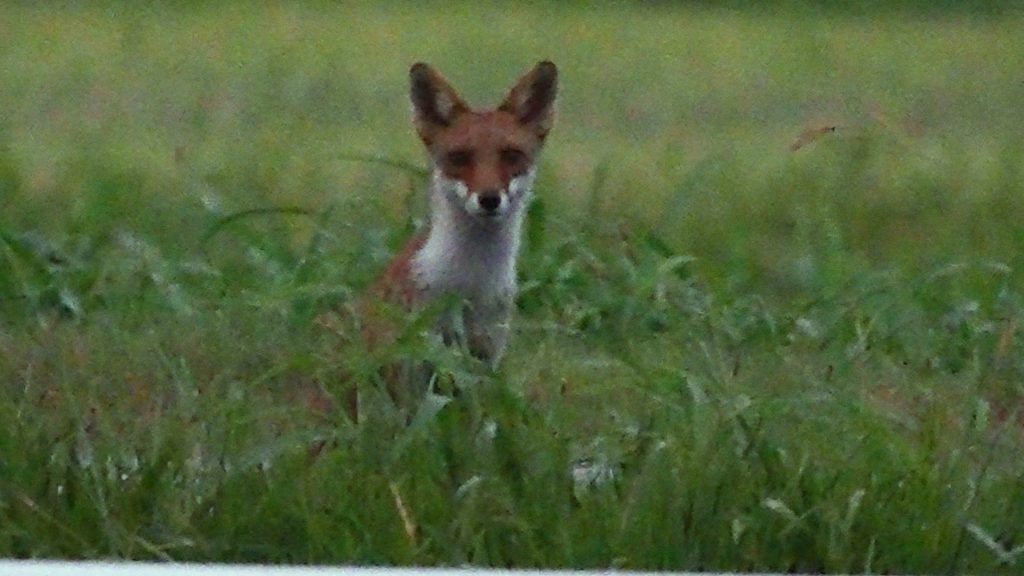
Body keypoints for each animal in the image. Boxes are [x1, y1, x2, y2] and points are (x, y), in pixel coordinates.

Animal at [352, 59, 561, 412]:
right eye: (460, 157)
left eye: (511, 155)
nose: (489, 199)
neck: (470, 281)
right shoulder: (413, 360)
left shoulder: (483, 358)